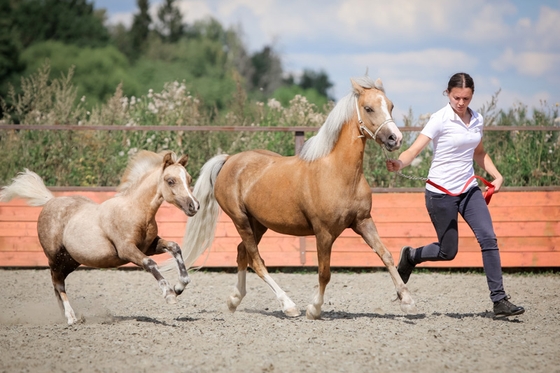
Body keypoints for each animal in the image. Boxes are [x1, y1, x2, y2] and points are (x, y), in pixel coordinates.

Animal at [0, 150, 199, 322]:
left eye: (189, 179)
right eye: (170, 180)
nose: (194, 206)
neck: (135, 211)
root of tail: (50, 201)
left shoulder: (149, 246)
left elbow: (174, 247)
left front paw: (180, 286)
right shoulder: (126, 250)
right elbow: (150, 263)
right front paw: (169, 294)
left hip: (72, 260)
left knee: (58, 284)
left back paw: (67, 315)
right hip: (55, 258)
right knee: (58, 283)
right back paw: (71, 318)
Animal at [179, 76, 416, 320]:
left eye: (391, 106)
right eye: (368, 108)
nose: (395, 139)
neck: (338, 173)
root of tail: (229, 160)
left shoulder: (363, 222)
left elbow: (385, 255)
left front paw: (407, 301)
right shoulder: (324, 233)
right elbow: (324, 273)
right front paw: (314, 309)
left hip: (258, 224)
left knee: (242, 253)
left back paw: (234, 300)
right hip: (240, 220)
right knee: (256, 260)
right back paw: (288, 305)